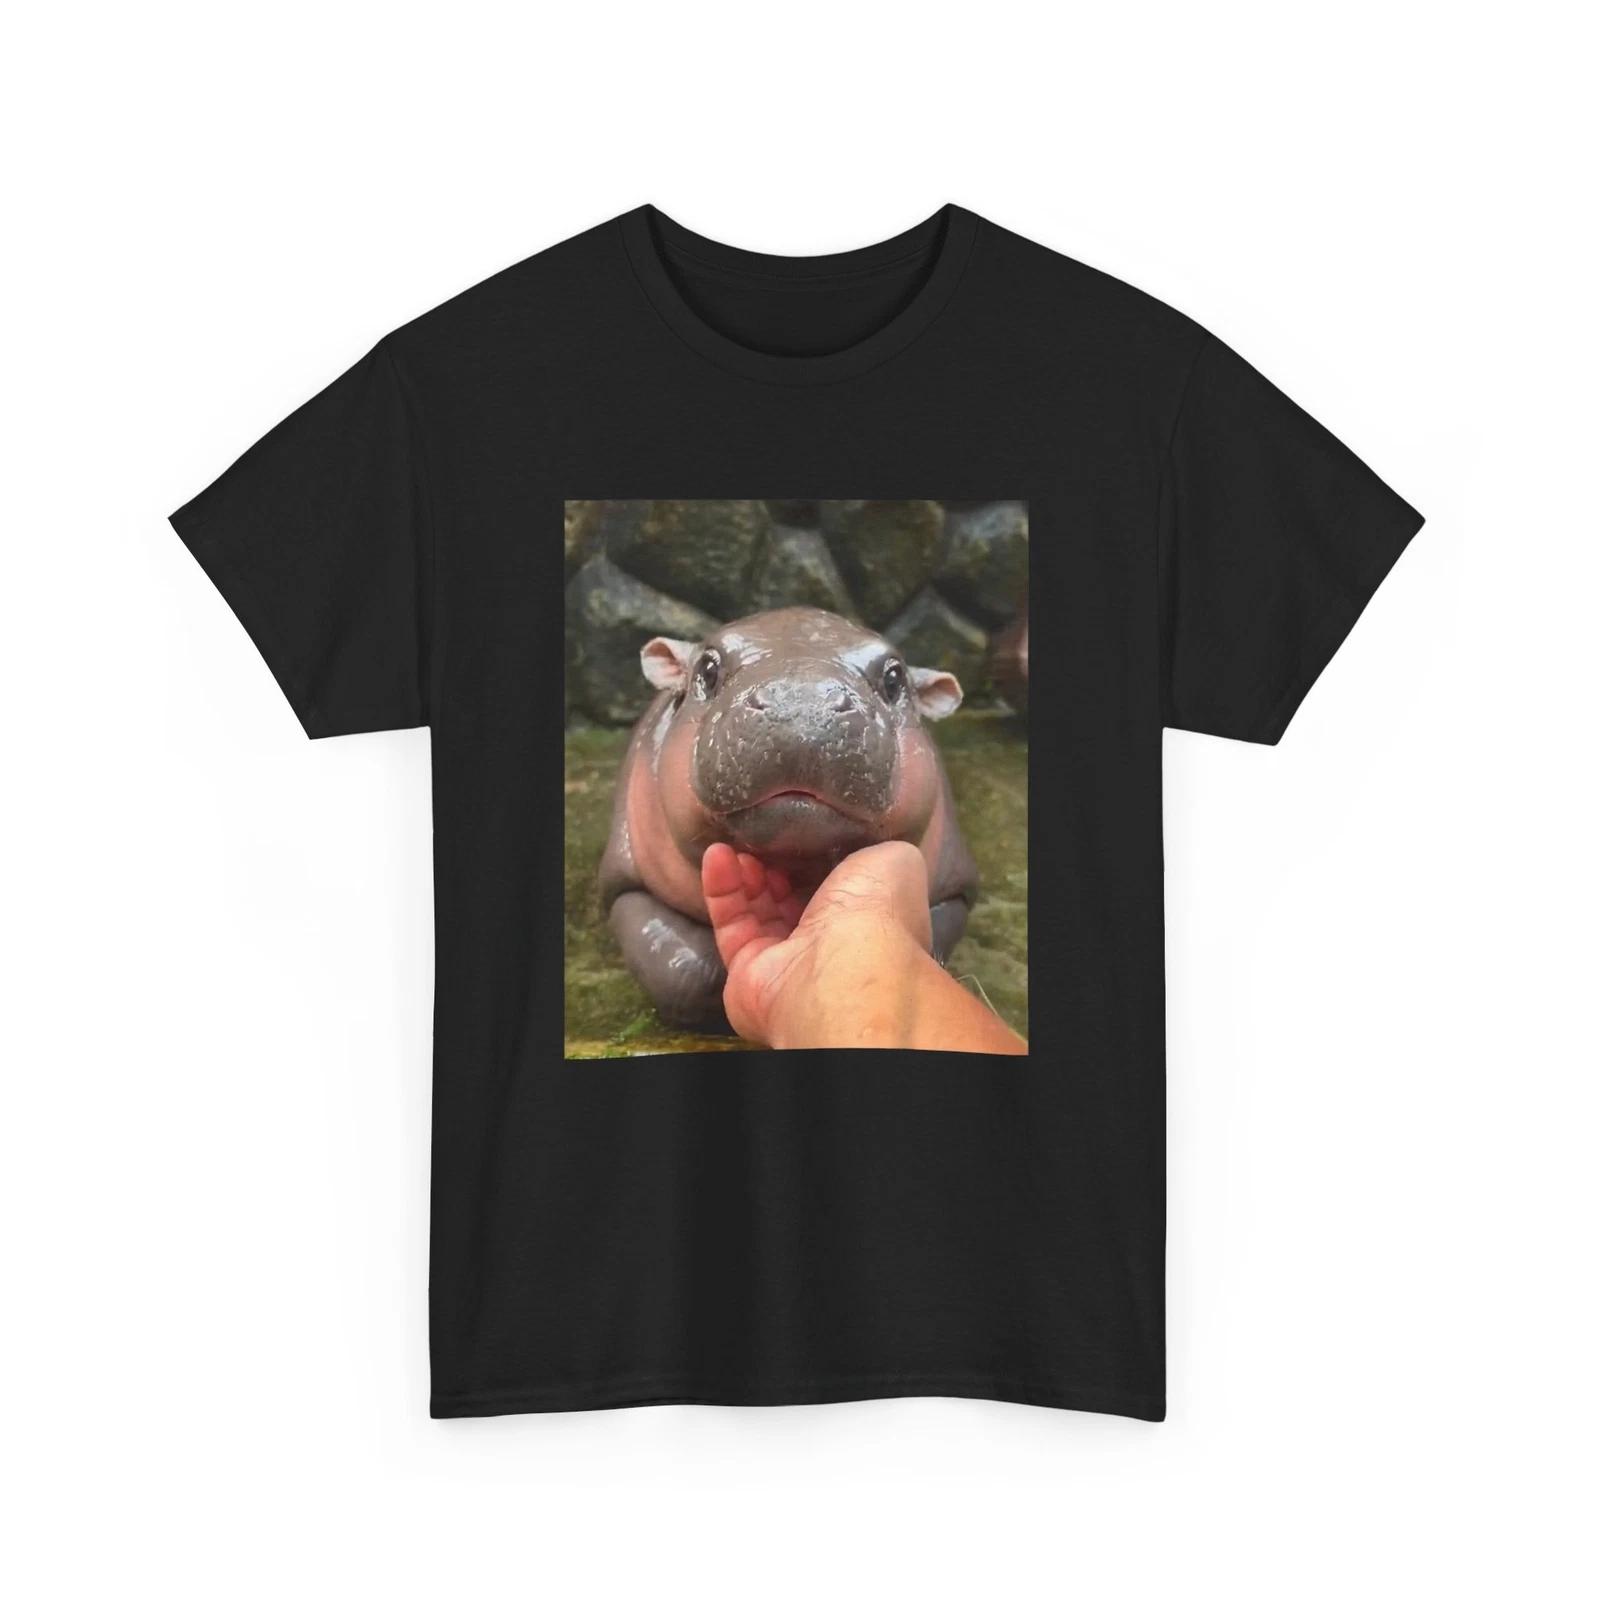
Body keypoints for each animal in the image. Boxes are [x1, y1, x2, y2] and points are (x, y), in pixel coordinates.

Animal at [598, 606, 979, 1030]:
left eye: (895, 678)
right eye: (708, 668)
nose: (801, 703)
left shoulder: (955, 890)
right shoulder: (625, 883)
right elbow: (683, 969)